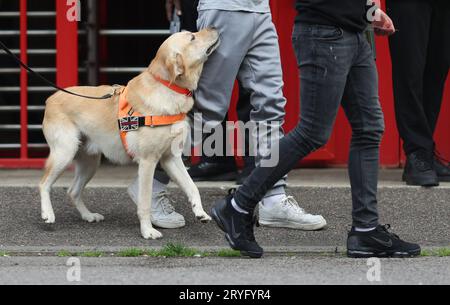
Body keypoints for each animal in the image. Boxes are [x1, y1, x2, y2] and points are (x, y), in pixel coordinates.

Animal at [40, 27, 220, 238]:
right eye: (192, 37)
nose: (215, 27)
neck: (167, 88)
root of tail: (51, 98)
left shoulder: (171, 158)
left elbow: (192, 187)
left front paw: (200, 212)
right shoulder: (148, 162)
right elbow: (145, 202)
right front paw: (147, 231)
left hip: (90, 162)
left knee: (72, 191)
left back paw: (88, 215)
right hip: (64, 153)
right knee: (44, 183)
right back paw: (48, 214)